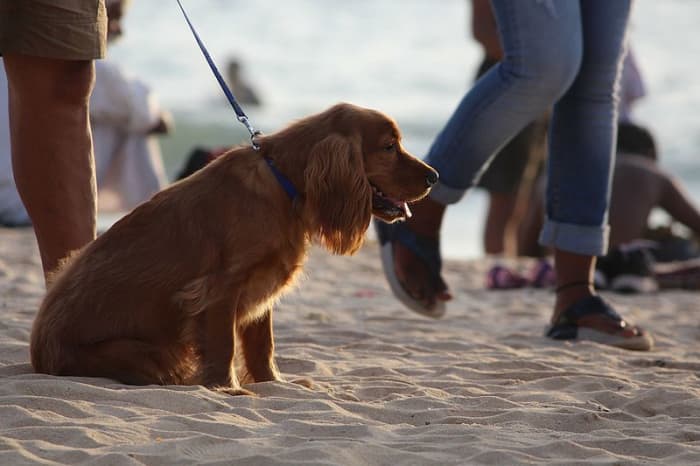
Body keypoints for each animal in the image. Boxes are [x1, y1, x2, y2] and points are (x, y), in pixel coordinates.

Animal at [31, 104, 438, 396]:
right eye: (389, 147)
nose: (434, 176)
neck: (284, 185)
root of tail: (37, 353)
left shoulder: (261, 286)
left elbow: (262, 345)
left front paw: (274, 383)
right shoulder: (220, 288)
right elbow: (224, 344)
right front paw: (228, 388)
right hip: (147, 353)